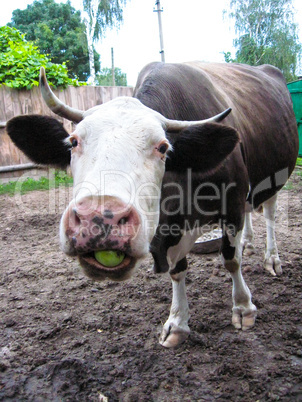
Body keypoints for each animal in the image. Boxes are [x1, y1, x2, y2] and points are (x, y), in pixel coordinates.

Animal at [5, 61, 298, 348]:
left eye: (163, 147)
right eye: (73, 141)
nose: (100, 218)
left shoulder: (233, 205)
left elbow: (231, 260)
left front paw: (243, 308)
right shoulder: (168, 229)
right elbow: (177, 270)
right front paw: (178, 322)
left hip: (274, 177)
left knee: (269, 214)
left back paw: (272, 258)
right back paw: (248, 242)